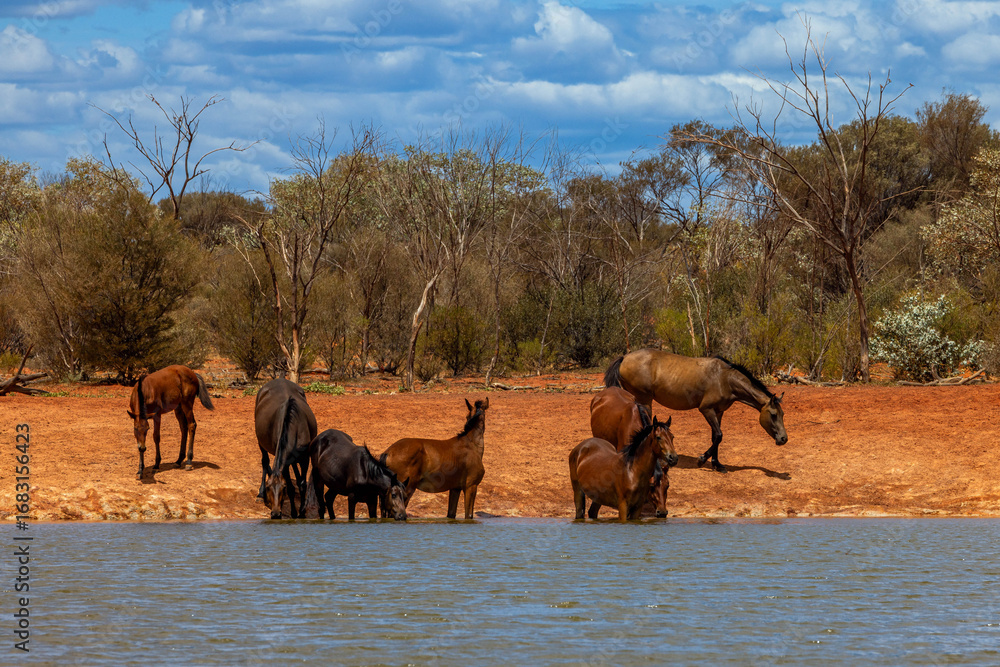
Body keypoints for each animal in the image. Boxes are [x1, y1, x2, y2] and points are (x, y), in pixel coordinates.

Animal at [254, 379, 317, 519]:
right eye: (268, 488)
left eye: (282, 488)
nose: (275, 514)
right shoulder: (286, 462)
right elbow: (291, 487)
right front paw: (294, 512)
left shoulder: (305, 458)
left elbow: (301, 484)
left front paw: (302, 512)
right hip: (261, 444)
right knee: (265, 462)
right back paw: (260, 494)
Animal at [605, 349, 787, 473]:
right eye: (773, 415)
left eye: (783, 414)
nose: (783, 439)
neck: (724, 379)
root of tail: (624, 357)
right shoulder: (706, 410)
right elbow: (719, 435)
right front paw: (701, 460)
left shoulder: (719, 411)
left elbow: (716, 437)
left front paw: (717, 464)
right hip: (645, 400)